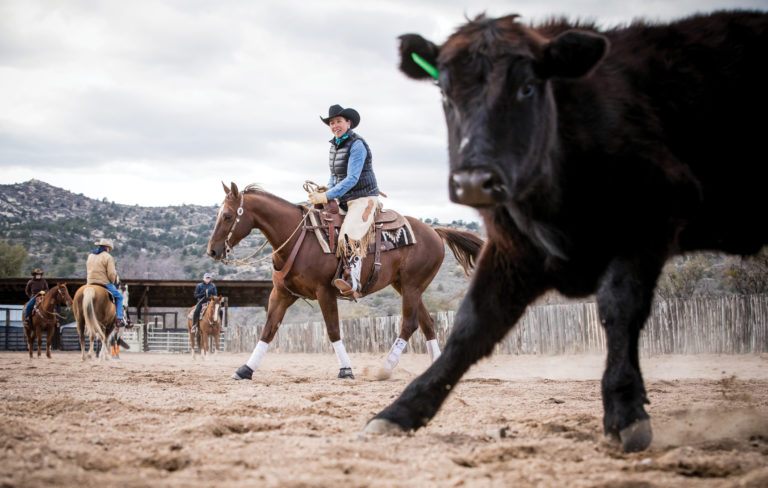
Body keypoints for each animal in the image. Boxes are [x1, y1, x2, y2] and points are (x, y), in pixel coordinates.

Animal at [363, 11, 768, 452]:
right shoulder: (515, 250)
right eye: (445, 94)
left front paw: (626, 414)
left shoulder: (644, 229)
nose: (473, 181)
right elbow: (473, 326)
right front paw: (399, 413)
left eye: (528, 87)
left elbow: (619, 310)